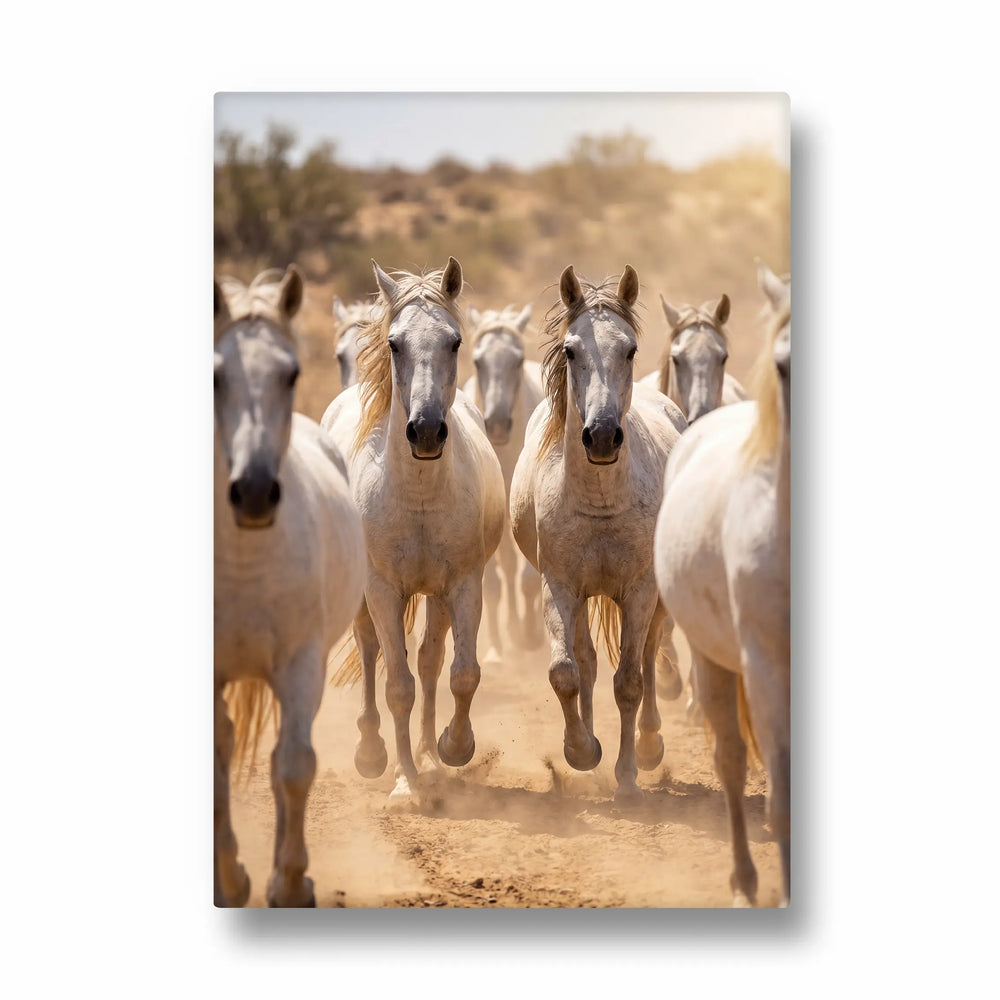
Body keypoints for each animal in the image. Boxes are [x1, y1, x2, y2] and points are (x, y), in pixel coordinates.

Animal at [322, 257, 506, 807]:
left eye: (455, 342)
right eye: (394, 343)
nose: (425, 431)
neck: (419, 494)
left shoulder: (463, 583)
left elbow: (462, 673)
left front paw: (452, 748)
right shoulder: (382, 589)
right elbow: (396, 685)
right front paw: (404, 782)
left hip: (435, 595)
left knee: (429, 660)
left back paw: (427, 752)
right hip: (370, 596)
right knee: (371, 652)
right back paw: (373, 753)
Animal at [510, 265, 687, 805]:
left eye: (629, 349)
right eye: (571, 351)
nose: (603, 436)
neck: (600, 501)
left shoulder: (640, 590)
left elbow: (629, 681)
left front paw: (627, 777)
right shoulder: (561, 586)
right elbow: (566, 672)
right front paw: (582, 751)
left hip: (652, 599)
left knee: (648, 657)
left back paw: (649, 746)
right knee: (586, 662)